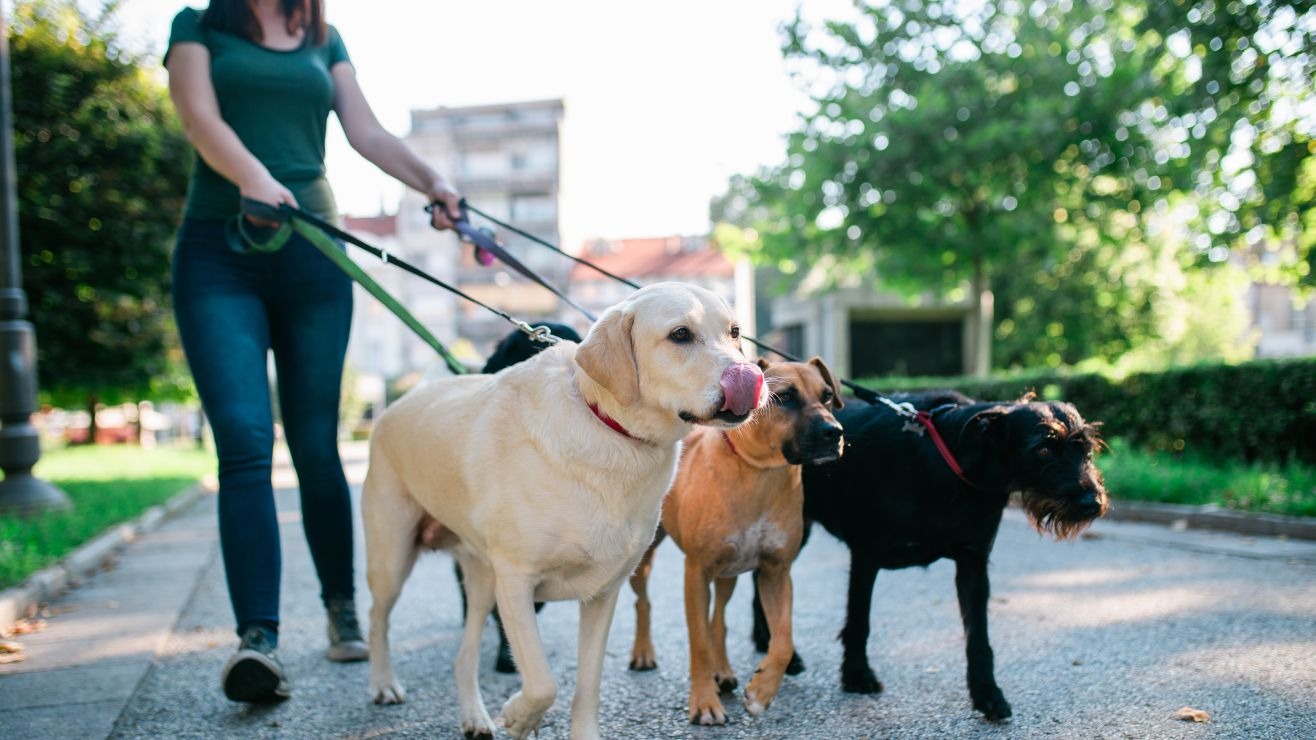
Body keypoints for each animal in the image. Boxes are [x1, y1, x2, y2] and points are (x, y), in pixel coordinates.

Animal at [365, 281, 768, 737]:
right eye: (680, 335)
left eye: (735, 333)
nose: (752, 377)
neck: (610, 431)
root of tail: (401, 402)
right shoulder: (516, 584)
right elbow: (542, 682)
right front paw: (520, 716)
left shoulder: (603, 594)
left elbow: (585, 687)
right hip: (393, 560)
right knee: (377, 619)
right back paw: (384, 684)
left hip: (482, 582)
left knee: (463, 656)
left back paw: (474, 716)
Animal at [626, 358, 842, 721]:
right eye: (785, 397)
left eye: (826, 395)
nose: (834, 432)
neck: (760, 473)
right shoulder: (696, 572)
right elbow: (698, 641)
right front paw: (704, 702)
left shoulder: (776, 571)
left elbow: (783, 641)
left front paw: (761, 691)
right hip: (645, 560)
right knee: (644, 602)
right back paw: (643, 652)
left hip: (728, 572)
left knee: (719, 620)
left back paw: (723, 671)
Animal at [752, 389, 1110, 716]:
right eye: (1044, 448)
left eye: (1086, 449)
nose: (1092, 503)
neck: (950, 465)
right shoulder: (866, 556)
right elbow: (859, 620)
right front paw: (857, 675)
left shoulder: (973, 565)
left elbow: (978, 637)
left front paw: (987, 693)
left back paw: (765, 643)